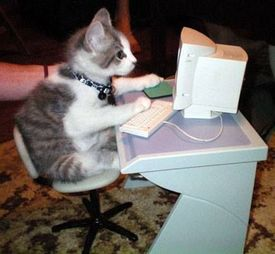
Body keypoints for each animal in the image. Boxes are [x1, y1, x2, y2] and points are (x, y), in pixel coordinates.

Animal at [15, 8, 164, 183]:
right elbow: (108, 113)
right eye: (120, 54)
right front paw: (139, 104)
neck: (88, 82)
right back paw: (120, 162)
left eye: (129, 49)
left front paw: (149, 79)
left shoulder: (108, 88)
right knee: (93, 161)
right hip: (66, 160)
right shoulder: (74, 119)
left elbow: (121, 82)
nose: (135, 61)